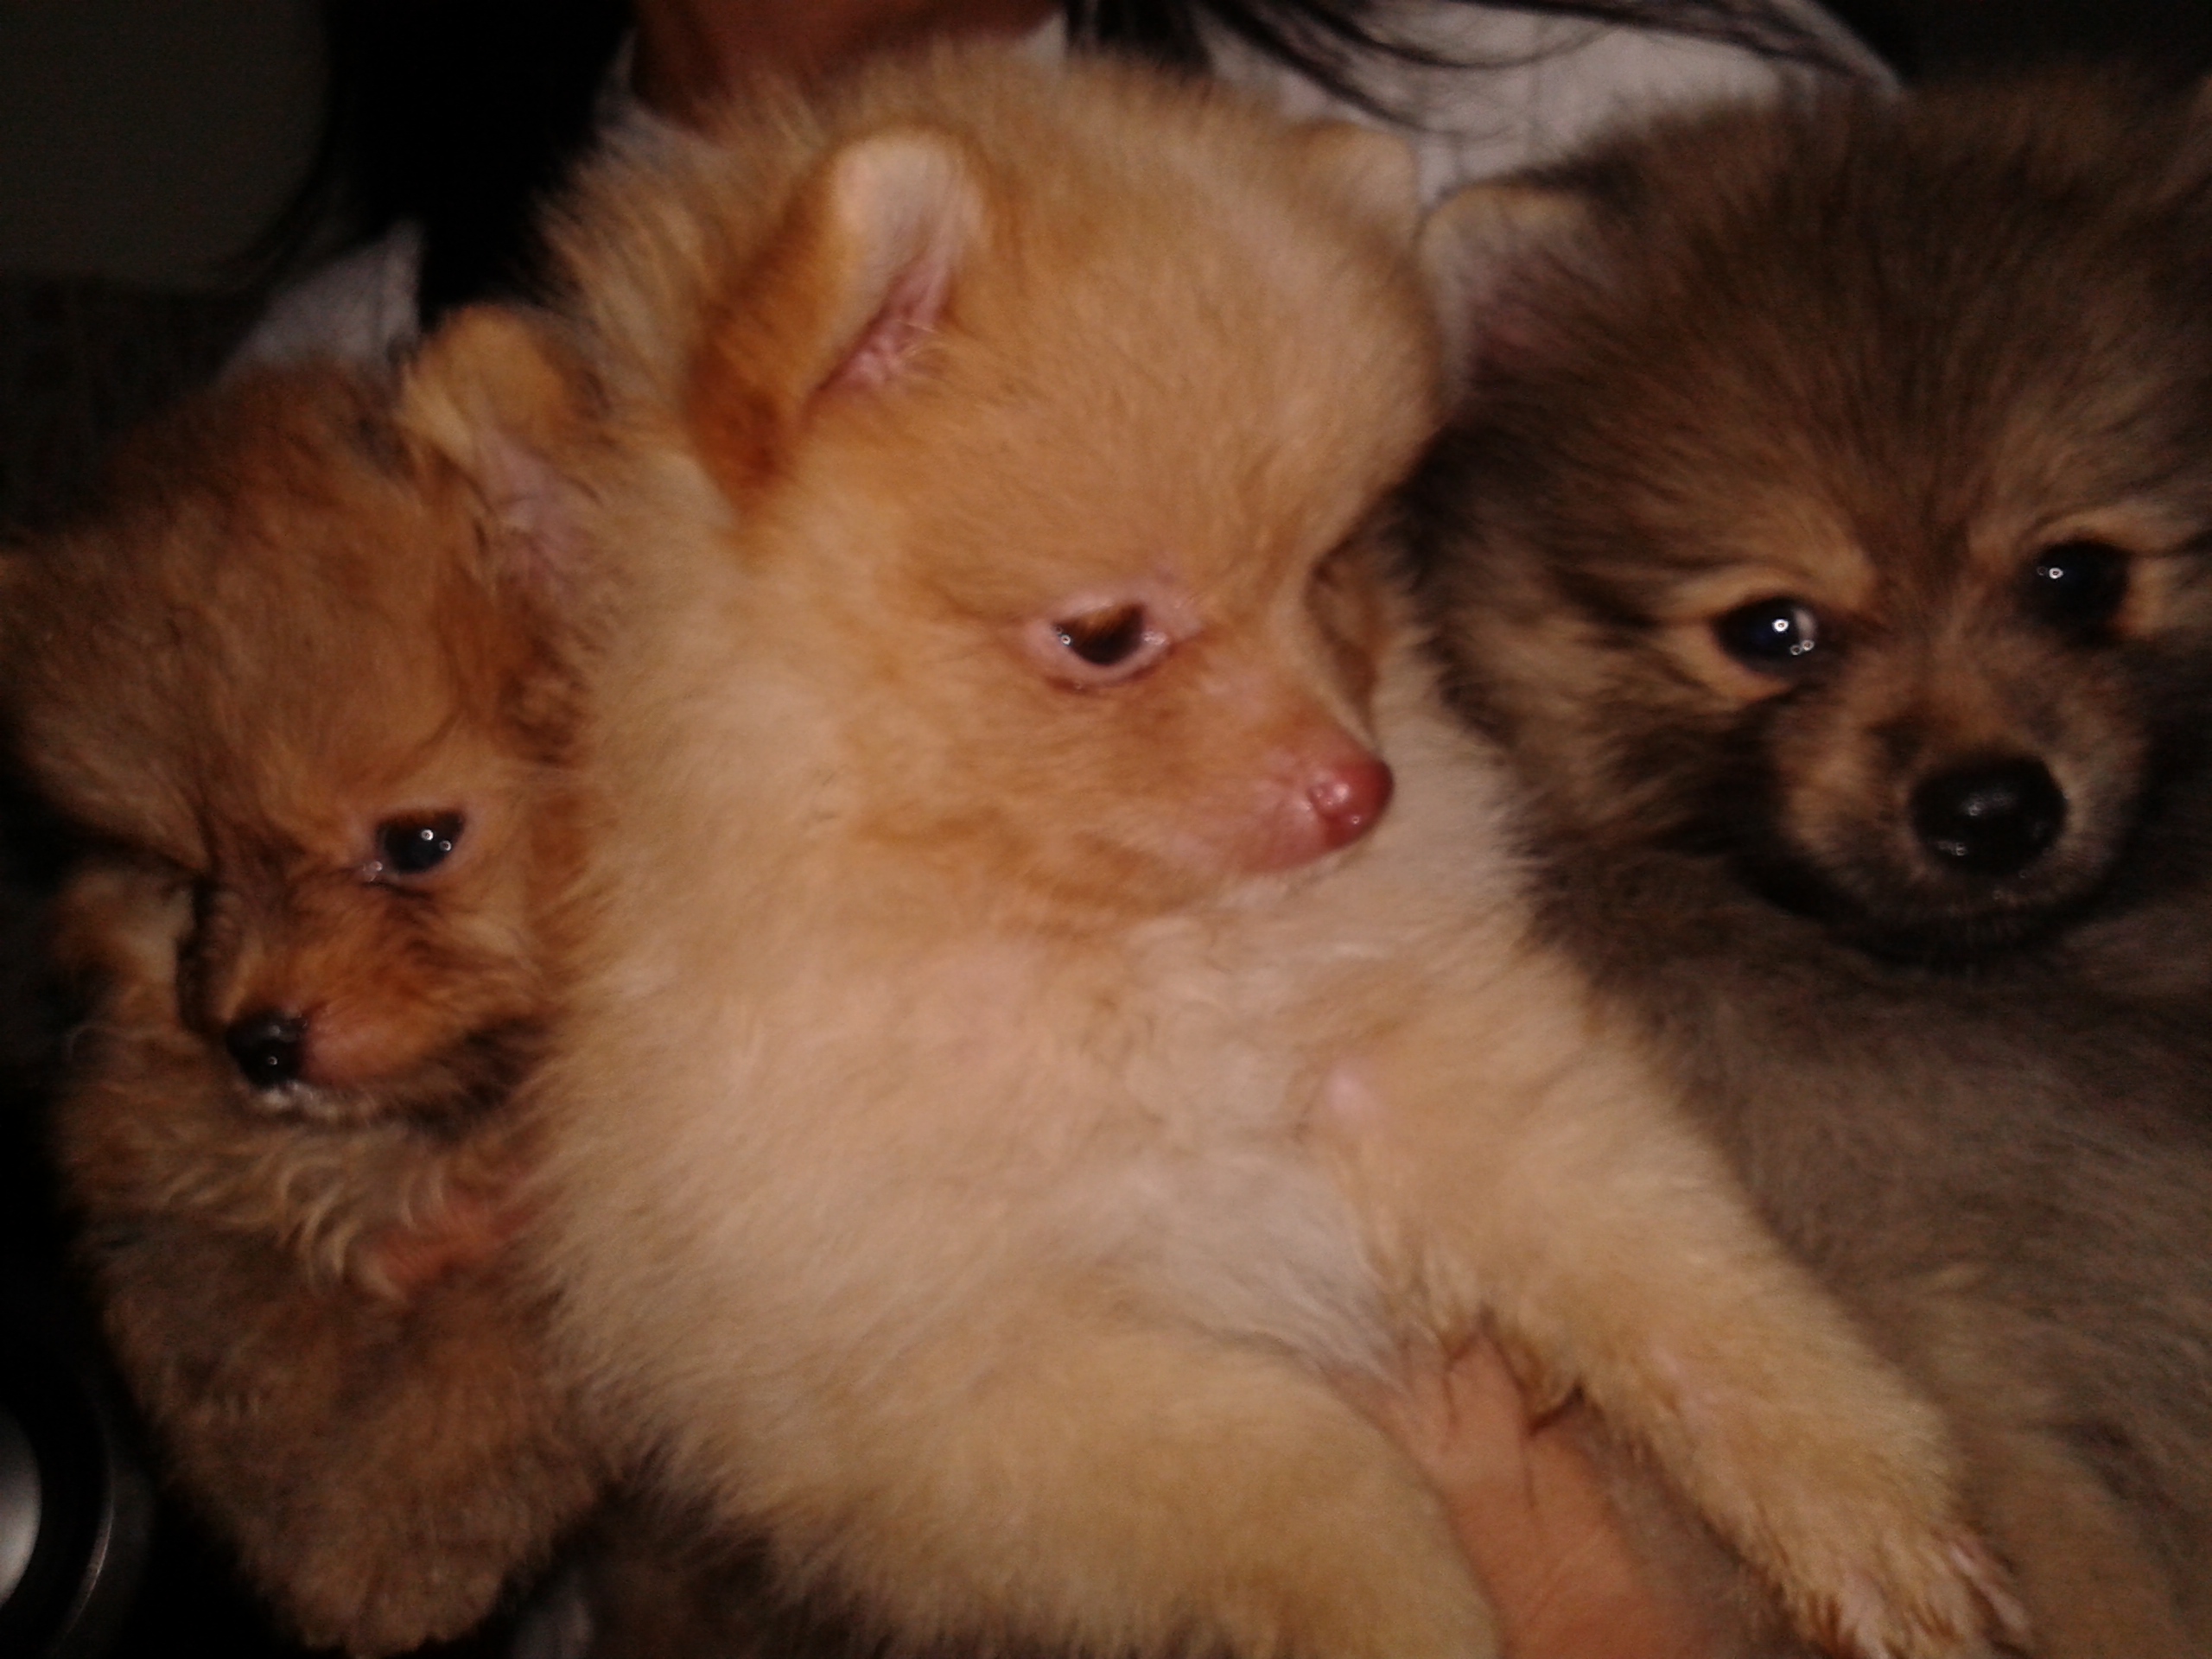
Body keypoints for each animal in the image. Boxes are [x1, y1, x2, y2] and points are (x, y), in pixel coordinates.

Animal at [3, 313, 609, 1655]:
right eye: (194, 887)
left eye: (419, 844)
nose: (261, 1042)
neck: (441, 1128)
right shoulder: (160, 1160)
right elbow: (234, 1333)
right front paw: (322, 1530)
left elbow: (489, 1357)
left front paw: (399, 1540)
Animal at [520, 45, 2016, 1659]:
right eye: (1105, 637)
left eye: (1334, 568)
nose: (1359, 791)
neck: (1124, 956)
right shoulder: (952, 1377)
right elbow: (1320, 1482)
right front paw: (1411, 1617)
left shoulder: (1457, 1073)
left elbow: (1689, 1280)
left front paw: (1864, 1504)